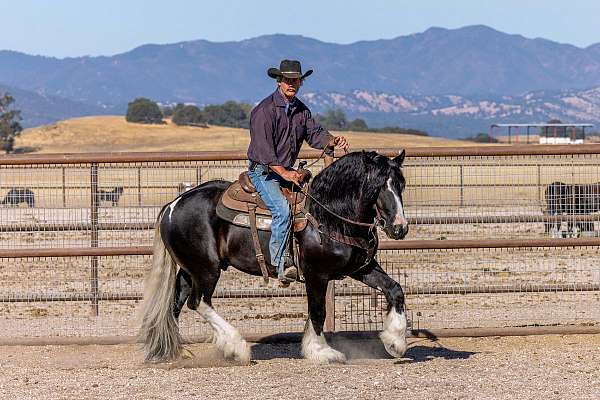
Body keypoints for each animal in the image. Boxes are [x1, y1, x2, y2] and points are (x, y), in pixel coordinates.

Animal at [139, 150, 410, 362]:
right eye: (377, 186)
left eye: (401, 185)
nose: (400, 228)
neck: (328, 215)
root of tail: (172, 205)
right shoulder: (317, 275)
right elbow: (318, 311)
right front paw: (322, 352)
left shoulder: (360, 268)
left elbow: (394, 289)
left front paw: (395, 342)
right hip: (207, 269)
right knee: (199, 302)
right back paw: (236, 347)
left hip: (189, 270)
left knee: (176, 302)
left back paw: (175, 351)